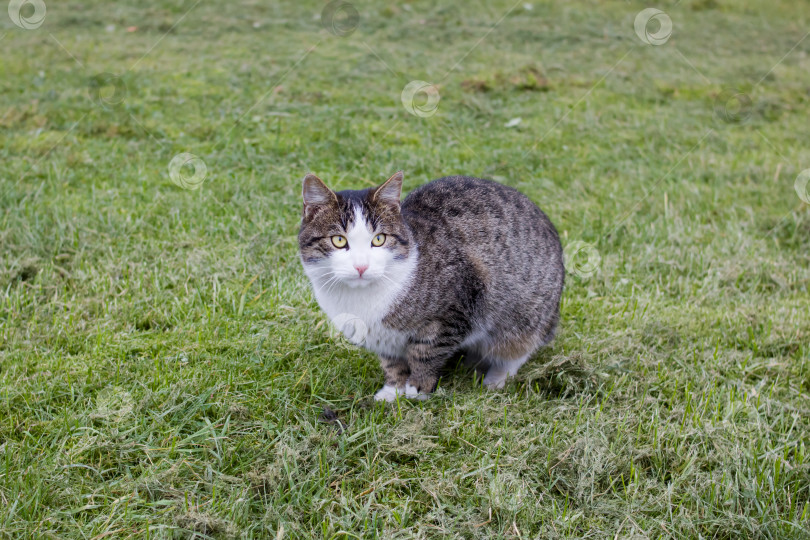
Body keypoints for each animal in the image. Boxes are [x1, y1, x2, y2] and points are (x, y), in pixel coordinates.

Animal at [296, 173, 560, 400]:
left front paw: (418, 387)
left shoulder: (459, 305)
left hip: (526, 315)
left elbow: (426, 352)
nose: (361, 266)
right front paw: (394, 390)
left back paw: (496, 378)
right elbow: (392, 363)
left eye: (379, 239)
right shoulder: (381, 337)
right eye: (339, 241)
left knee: (515, 350)